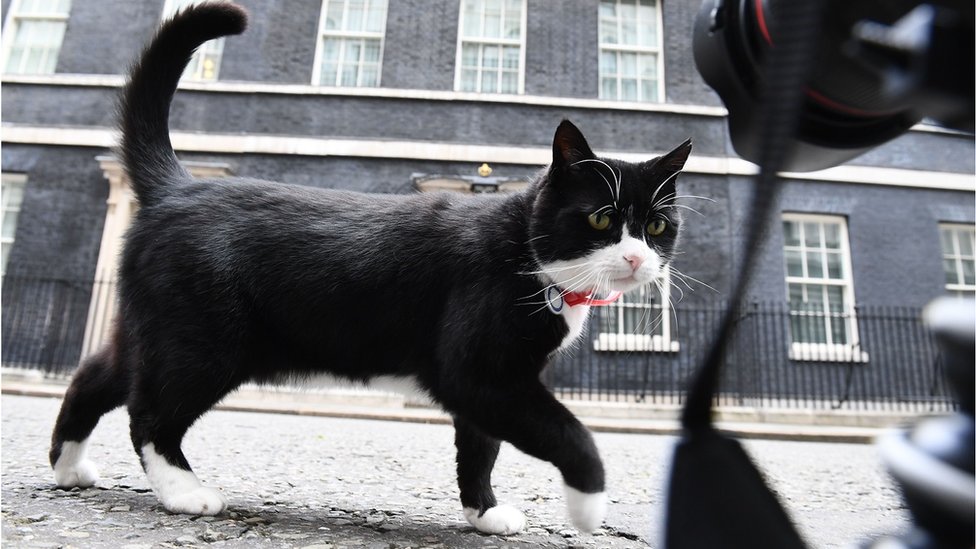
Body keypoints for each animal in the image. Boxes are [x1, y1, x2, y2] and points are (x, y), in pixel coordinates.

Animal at [47, 3, 692, 536]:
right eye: (603, 218)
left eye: (659, 227)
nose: (637, 257)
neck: (526, 256)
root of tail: (176, 187)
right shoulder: (480, 373)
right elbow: (567, 431)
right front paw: (588, 506)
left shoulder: (490, 385)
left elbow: (480, 448)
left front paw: (483, 513)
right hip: (205, 342)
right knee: (150, 414)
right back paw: (183, 491)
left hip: (153, 329)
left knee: (95, 377)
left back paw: (69, 467)